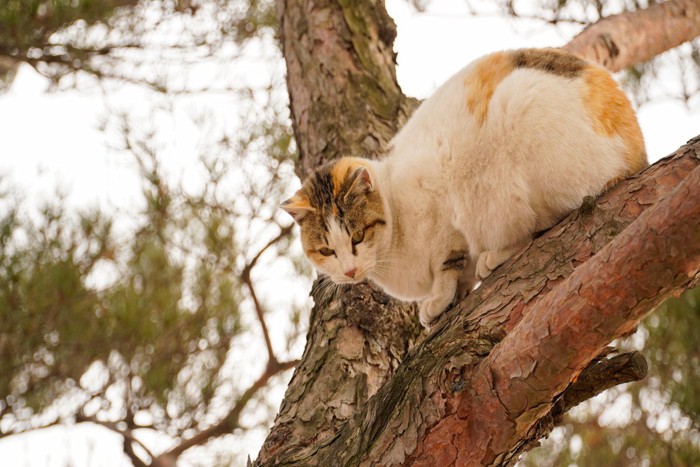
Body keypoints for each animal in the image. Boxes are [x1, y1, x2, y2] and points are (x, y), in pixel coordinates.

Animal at [280, 47, 644, 328]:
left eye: (357, 237)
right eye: (327, 250)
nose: (350, 270)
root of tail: (636, 147)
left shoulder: (444, 216)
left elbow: (448, 264)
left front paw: (439, 298)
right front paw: (456, 293)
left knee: (548, 221)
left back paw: (496, 255)